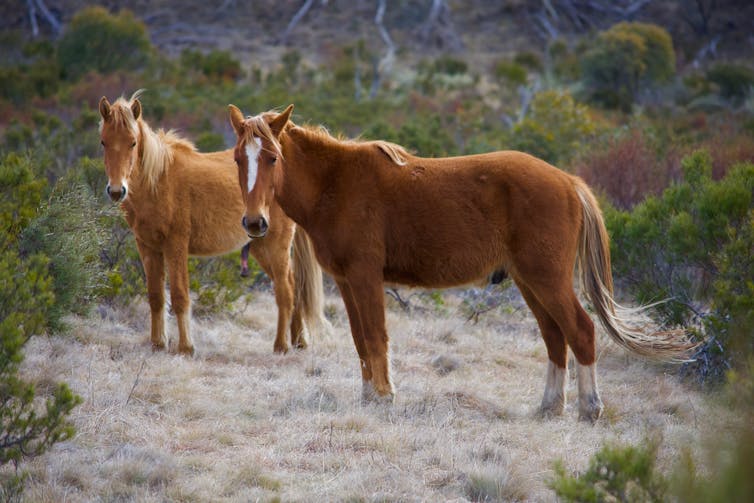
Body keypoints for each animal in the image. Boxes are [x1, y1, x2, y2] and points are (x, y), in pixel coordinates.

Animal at [97, 92, 326, 356]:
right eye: (104, 142)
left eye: (133, 143)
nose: (116, 190)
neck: (158, 181)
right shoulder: (147, 246)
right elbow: (155, 296)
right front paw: (157, 344)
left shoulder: (175, 245)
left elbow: (180, 295)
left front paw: (186, 347)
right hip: (260, 247)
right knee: (292, 284)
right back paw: (299, 341)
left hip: (275, 244)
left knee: (285, 290)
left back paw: (281, 346)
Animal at [228, 103, 692, 422]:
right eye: (237, 158)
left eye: (272, 157)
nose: (254, 223)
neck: (336, 183)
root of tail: (568, 182)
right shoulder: (345, 282)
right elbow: (361, 341)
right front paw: (369, 396)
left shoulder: (365, 278)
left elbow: (376, 338)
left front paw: (384, 397)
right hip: (530, 282)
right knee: (554, 337)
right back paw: (549, 407)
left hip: (548, 279)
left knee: (580, 331)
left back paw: (590, 408)